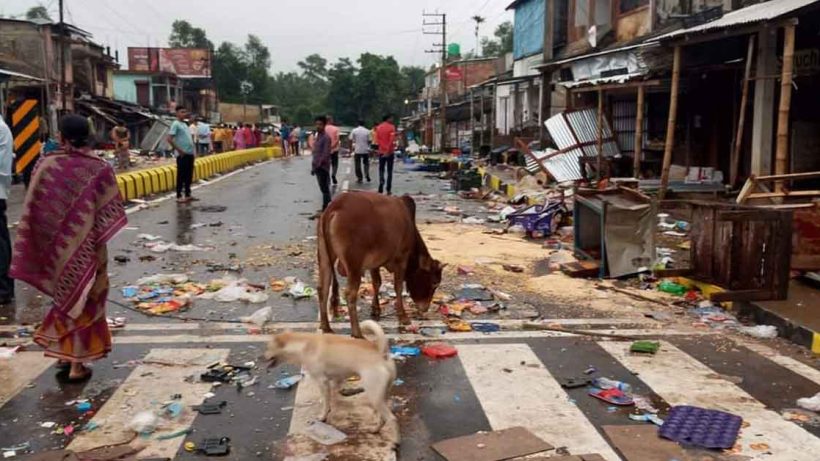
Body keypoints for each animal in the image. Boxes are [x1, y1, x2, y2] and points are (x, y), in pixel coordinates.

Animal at [264, 318, 398, 436]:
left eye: (268, 348)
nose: (261, 357)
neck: (303, 344)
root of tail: (380, 352)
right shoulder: (336, 379)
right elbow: (330, 396)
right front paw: (329, 406)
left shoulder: (322, 381)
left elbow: (326, 400)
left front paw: (323, 415)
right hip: (382, 395)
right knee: (383, 417)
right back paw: (375, 429)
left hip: (374, 394)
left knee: (391, 418)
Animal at [316, 190, 442, 338]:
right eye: (434, 283)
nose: (425, 308)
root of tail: (334, 206)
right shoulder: (401, 259)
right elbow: (398, 287)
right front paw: (403, 317)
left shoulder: (374, 263)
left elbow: (377, 282)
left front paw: (375, 309)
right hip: (354, 264)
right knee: (350, 293)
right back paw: (357, 332)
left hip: (324, 257)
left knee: (323, 288)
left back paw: (326, 326)